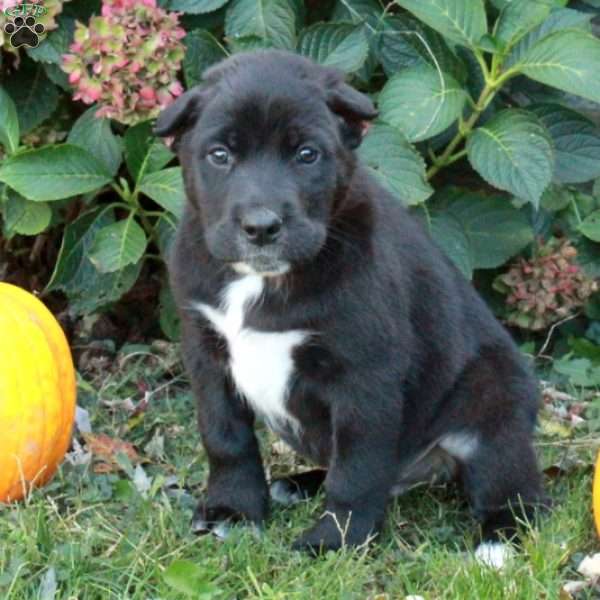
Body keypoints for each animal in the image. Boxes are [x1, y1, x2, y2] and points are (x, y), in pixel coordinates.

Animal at [157, 49, 548, 564]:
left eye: (307, 154)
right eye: (219, 155)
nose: (261, 227)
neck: (262, 281)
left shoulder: (364, 375)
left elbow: (357, 468)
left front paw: (336, 539)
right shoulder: (207, 354)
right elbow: (225, 437)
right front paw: (233, 509)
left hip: (491, 407)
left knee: (519, 491)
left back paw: (497, 541)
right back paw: (297, 485)